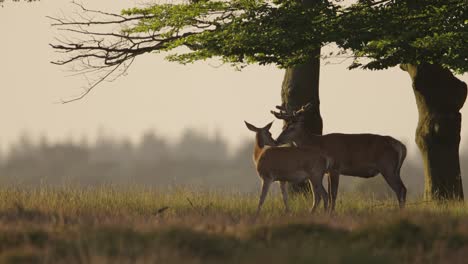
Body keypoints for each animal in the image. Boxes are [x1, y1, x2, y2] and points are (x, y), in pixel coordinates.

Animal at [272, 104, 408, 209]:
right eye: (283, 126)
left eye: (292, 127)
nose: (276, 140)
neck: (318, 144)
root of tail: (401, 146)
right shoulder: (328, 171)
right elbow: (330, 194)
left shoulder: (335, 168)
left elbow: (333, 194)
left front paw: (331, 214)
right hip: (395, 170)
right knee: (403, 188)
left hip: (387, 167)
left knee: (400, 189)